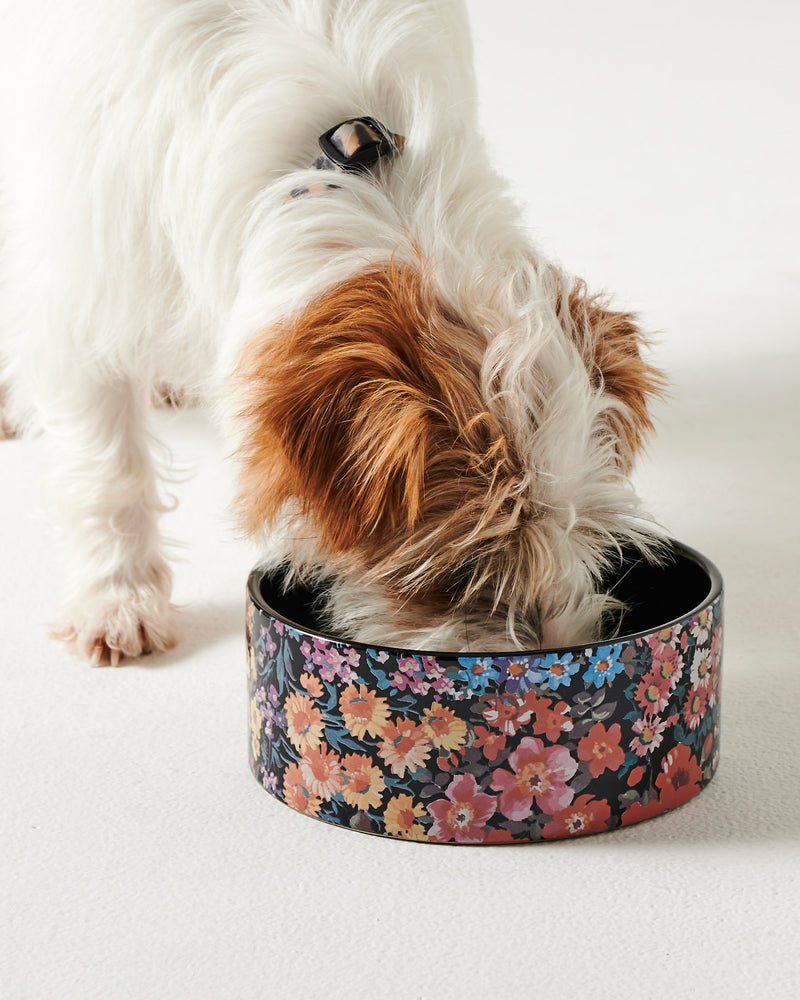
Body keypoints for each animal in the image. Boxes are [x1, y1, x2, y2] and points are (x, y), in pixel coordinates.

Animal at [0, 3, 664, 668]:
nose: (559, 650)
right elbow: (109, 471)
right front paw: (118, 599)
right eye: (459, 573)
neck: (358, 166)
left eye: (588, 535)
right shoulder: (80, 292)